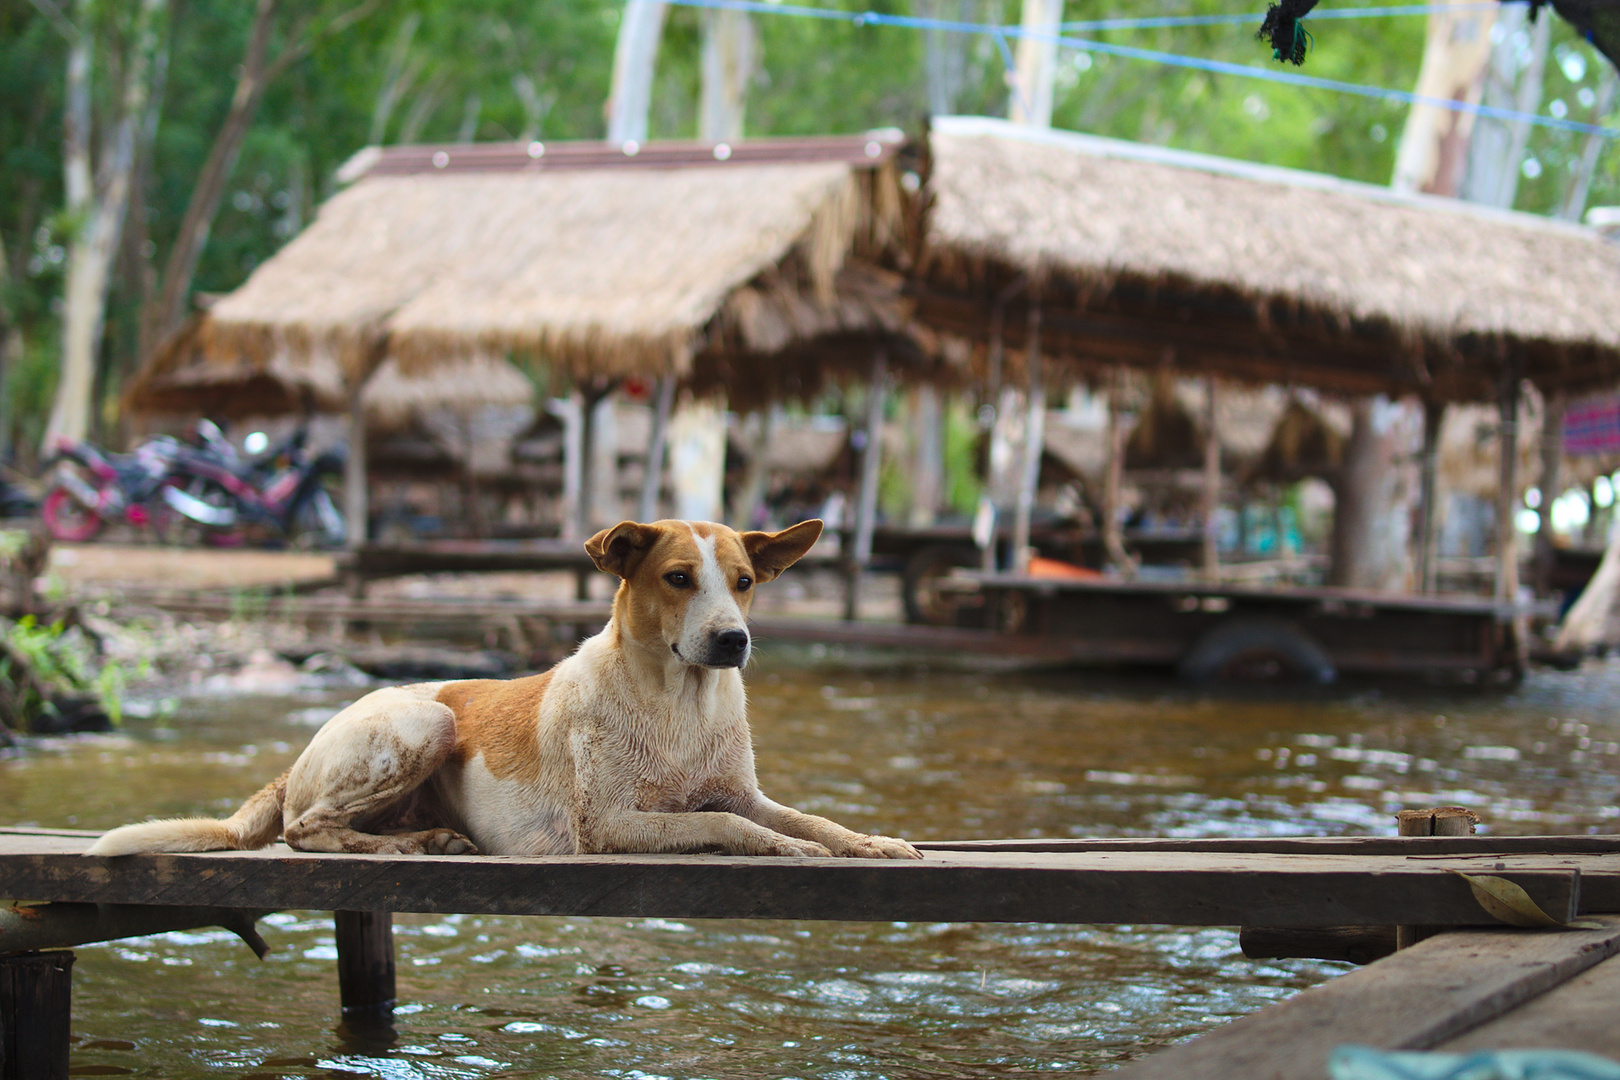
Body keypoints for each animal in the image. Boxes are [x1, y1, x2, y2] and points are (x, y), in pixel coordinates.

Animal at [88, 518, 926, 867]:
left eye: (746, 582)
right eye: (679, 578)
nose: (733, 642)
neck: (677, 703)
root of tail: (295, 760)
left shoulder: (739, 789)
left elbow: (805, 817)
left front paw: (869, 841)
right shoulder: (609, 826)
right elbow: (737, 828)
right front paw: (795, 850)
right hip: (426, 721)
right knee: (305, 829)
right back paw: (419, 842)